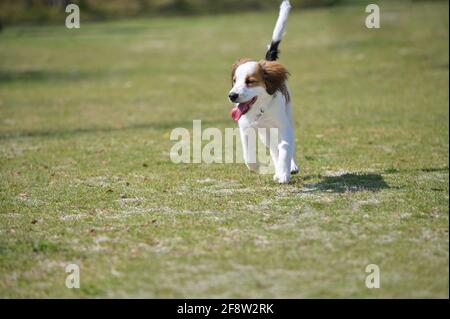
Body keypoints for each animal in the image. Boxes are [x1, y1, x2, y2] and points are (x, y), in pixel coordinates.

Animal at [229, 0, 298, 185]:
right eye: (234, 81)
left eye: (250, 81)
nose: (232, 96)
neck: (261, 108)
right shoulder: (245, 126)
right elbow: (248, 156)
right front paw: (258, 167)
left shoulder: (283, 125)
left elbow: (285, 147)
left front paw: (284, 173)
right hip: (264, 132)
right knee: (273, 147)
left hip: (287, 116)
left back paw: (290, 167)